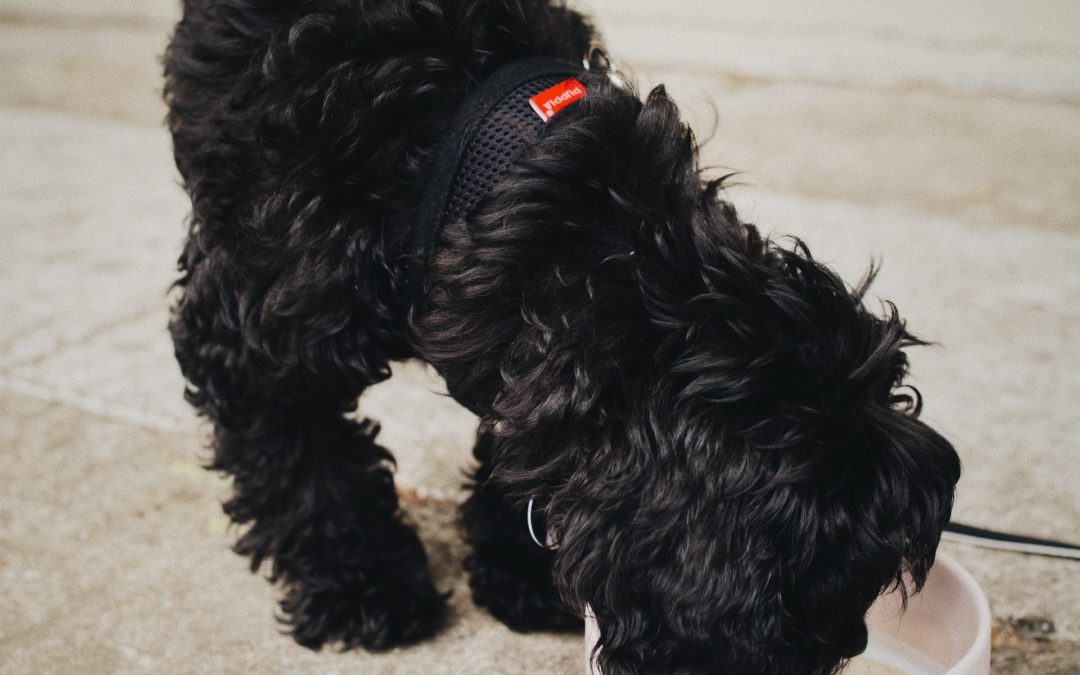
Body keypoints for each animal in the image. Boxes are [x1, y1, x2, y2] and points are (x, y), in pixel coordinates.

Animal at [166, 2, 963, 669]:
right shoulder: (249, 336)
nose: (852, 643)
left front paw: (518, 567)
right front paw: (363, 584)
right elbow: (308, 465)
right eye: (803, 592)